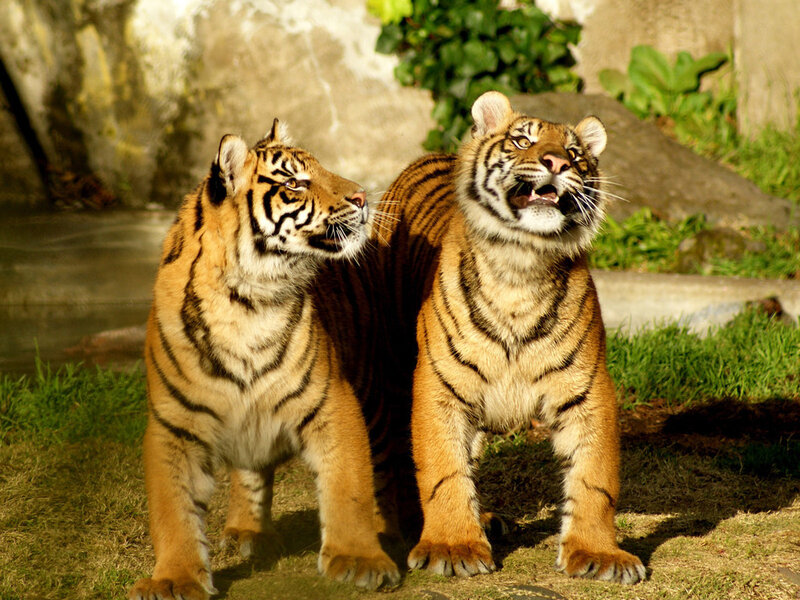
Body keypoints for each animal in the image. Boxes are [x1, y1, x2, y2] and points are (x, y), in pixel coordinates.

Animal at [128, 120, 400, 600]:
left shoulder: (335, 402)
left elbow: (349, 487)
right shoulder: (173, 424)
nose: (363, 197)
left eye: (321, 168)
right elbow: (172, 511)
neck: (246, 301)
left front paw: (359, 559)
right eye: (295, 183)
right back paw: (247, 533)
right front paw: (174, 579)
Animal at [365, 91, 647, 584]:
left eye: (575, 153)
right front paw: (452, 546)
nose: (557, 162)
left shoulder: (589, 389)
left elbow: (594, 477)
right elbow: (441, 469)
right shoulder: (438, 387)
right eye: (523, 141)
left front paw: (598, 553)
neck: (522, 264)